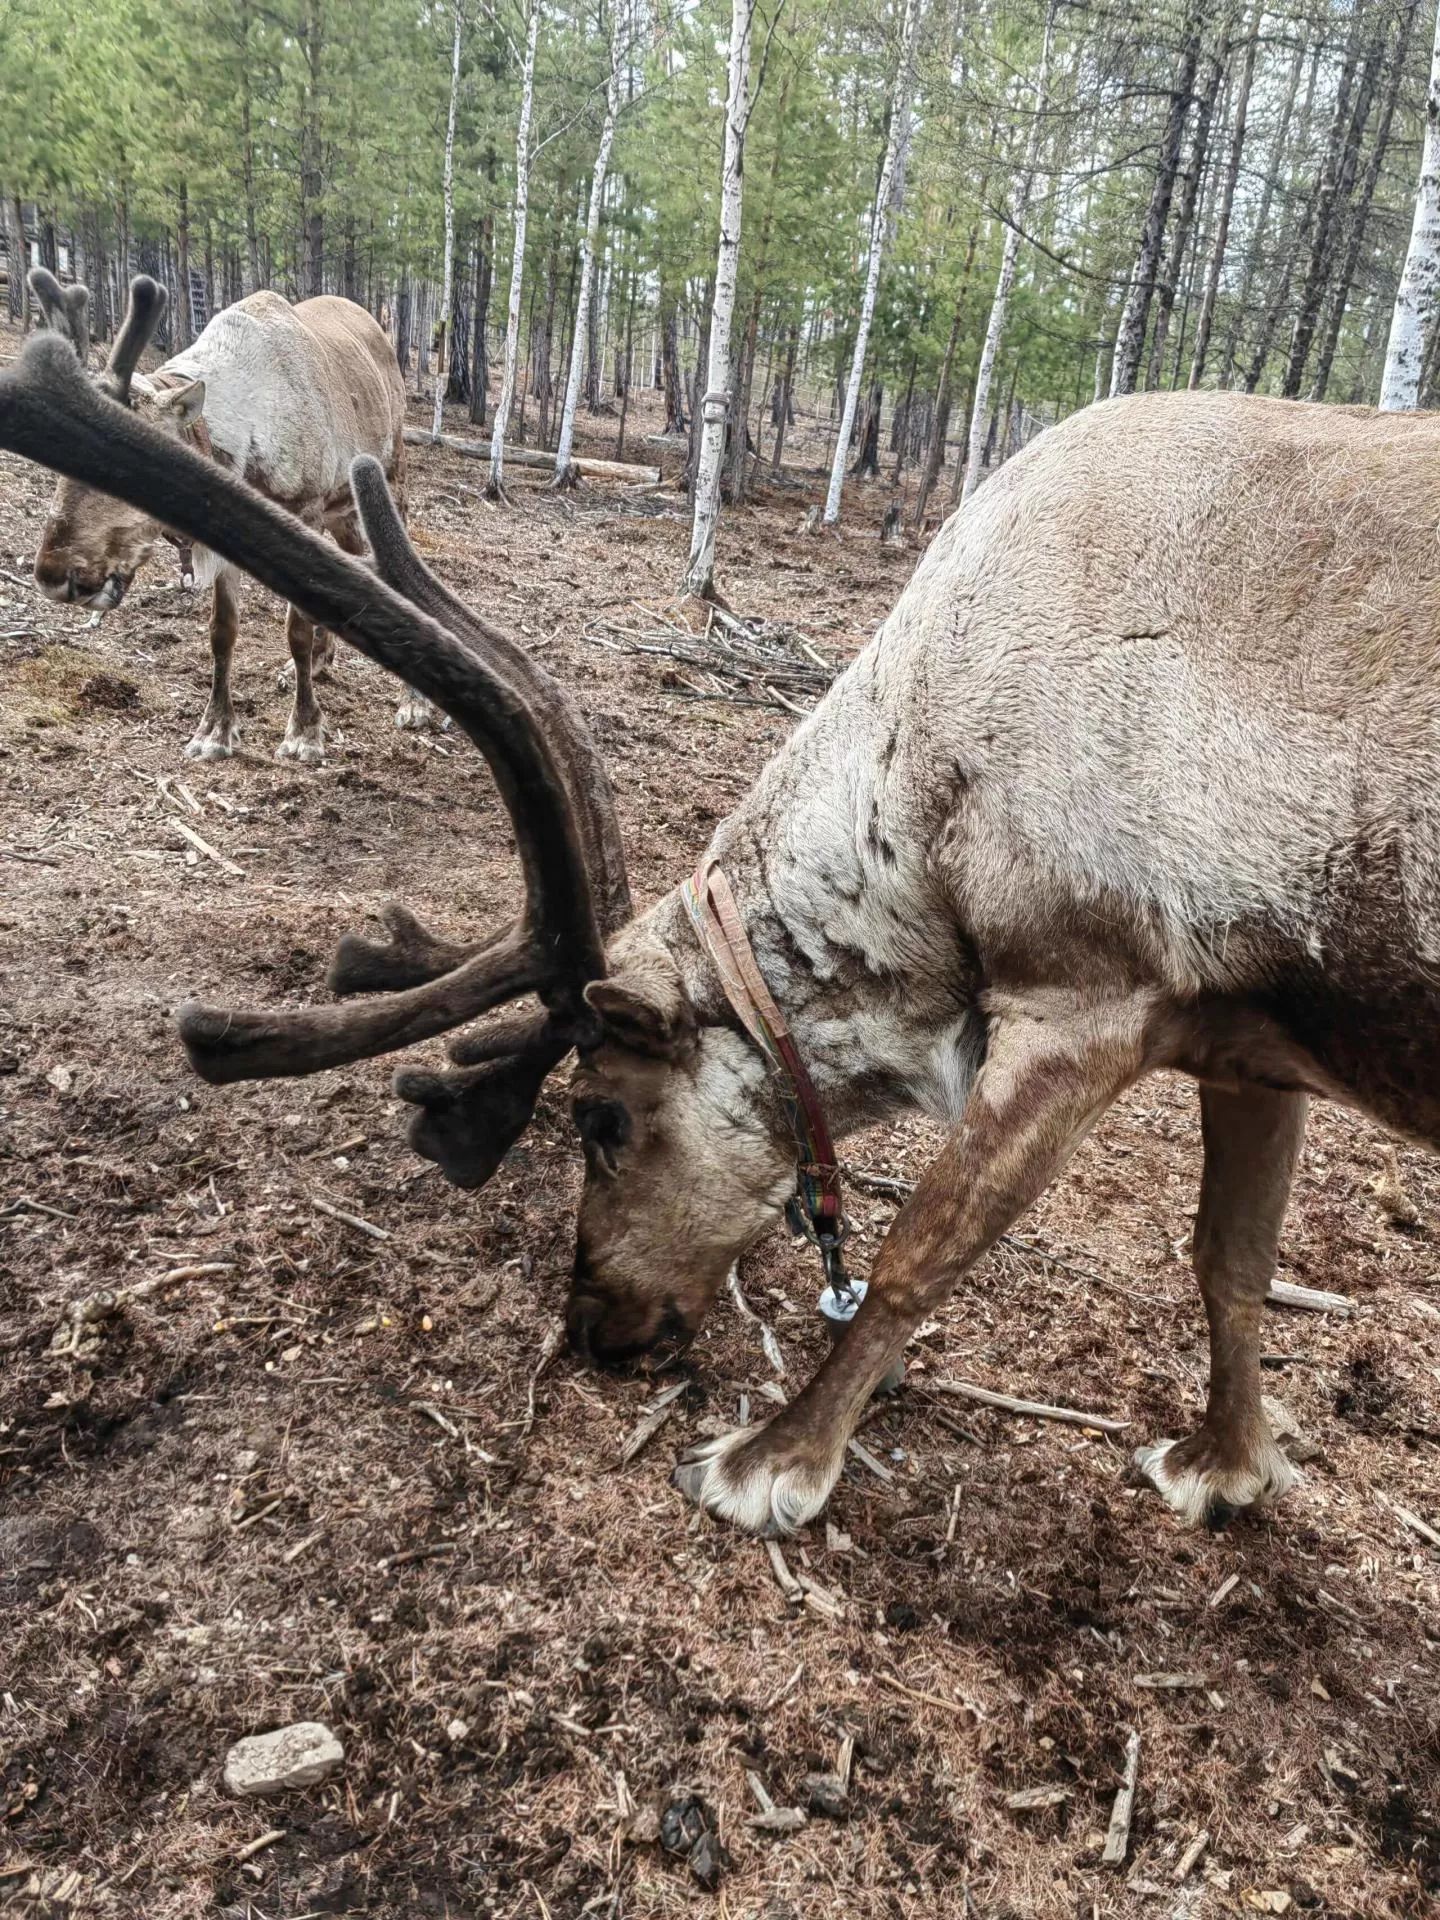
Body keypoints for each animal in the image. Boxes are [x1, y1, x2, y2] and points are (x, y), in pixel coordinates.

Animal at [25, 269, 436, 762]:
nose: (53, 575)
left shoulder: (306, 507)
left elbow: (295, 628)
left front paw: (304, 731)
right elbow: (222, 632)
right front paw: (214, 731)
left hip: (392, 476)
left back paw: (414, 702)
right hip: (341, 510)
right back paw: (320, 664)